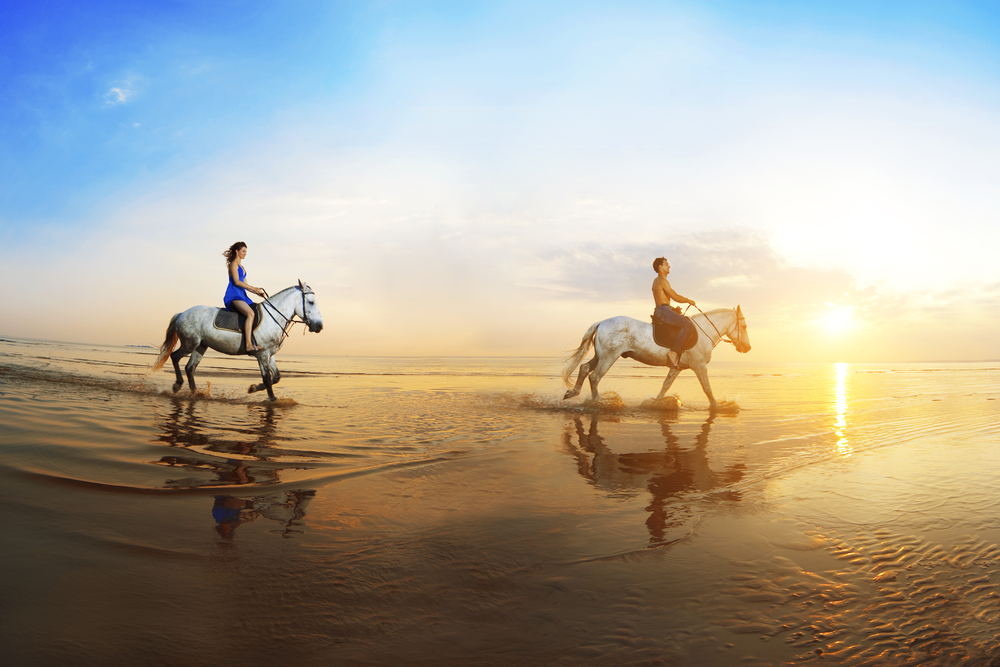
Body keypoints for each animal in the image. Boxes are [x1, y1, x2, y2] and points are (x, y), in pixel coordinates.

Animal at [153, 282, 324, 402]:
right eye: (311, 302)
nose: (319, 326)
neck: (273, 317)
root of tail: (182, 313)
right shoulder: (262, 354)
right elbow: (267, 379)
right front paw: (270, 398)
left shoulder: (270, 355)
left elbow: (276, 377)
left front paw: (253, 388)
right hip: (190, 344)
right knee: (175, 357)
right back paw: (177, 385)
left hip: (200, 346)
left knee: (190, 368)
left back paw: (195, 393)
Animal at [564, 306, 752, 410]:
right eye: (743, 326)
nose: (747, 348)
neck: (703, 332)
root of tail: (601, 322)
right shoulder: (699, 366)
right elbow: (707, 388)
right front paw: (717, 406)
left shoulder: (676, 367)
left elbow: (665, 386)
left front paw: (657, 402)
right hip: (609, 357)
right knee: (594, 377)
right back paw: (598, 403)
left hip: (600, 355)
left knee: (584, 368)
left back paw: (573, 393)